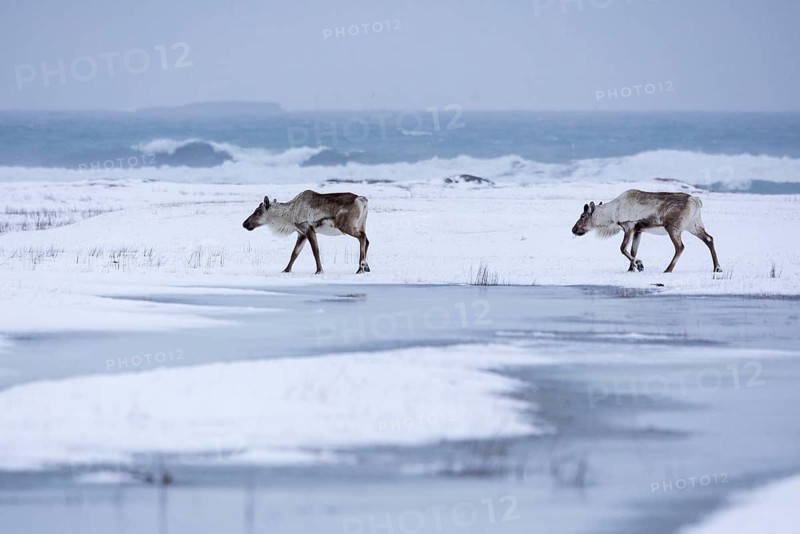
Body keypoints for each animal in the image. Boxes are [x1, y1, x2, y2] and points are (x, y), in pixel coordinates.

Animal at [571, 189, 722, 273]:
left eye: (582, 216)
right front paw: (631, 269)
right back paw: (717, 268)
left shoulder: (629, 226)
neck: (612, 214)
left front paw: (640, 265)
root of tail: (696, 200)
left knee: (680, 247)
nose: (573, 229)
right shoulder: (639, 230)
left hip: (673, 228)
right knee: (709, 239)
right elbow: (633, 251)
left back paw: (668, 270)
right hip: (694, 225)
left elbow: (622, 249)